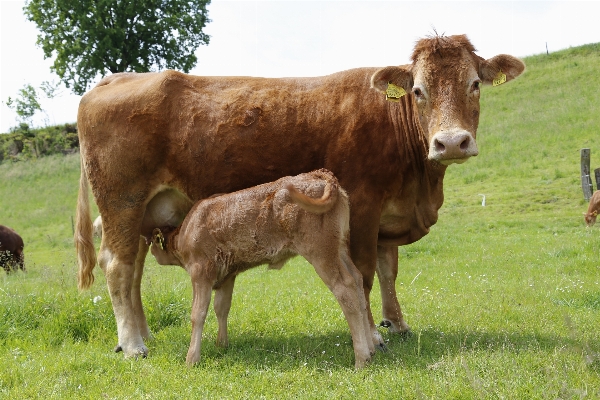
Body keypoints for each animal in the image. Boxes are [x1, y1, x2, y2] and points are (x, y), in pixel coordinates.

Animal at [149, 169, 372, 368]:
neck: (186, 231)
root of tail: (320, 174)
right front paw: (222, 345)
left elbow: (198, 313)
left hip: (321, 252)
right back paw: (371, 349)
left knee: (345, 288)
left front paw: (191, 359)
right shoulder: (227, 275)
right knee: (357, 280)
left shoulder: (200, 271)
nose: (150, 248)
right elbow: (222, 308)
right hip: (340, 248)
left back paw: (361, 359)